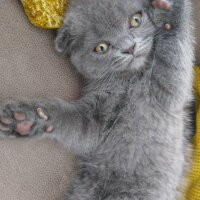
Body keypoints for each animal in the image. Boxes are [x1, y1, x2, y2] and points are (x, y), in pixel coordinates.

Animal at [0, 0, 194, 199]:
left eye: (136, 20)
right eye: (101, 47)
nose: (129, 48)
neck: (130, 79)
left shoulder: (166, 91)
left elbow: (171, 52)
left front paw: (169, 10)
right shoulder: (96, 120)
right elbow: (74, 123)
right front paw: (25, 120)